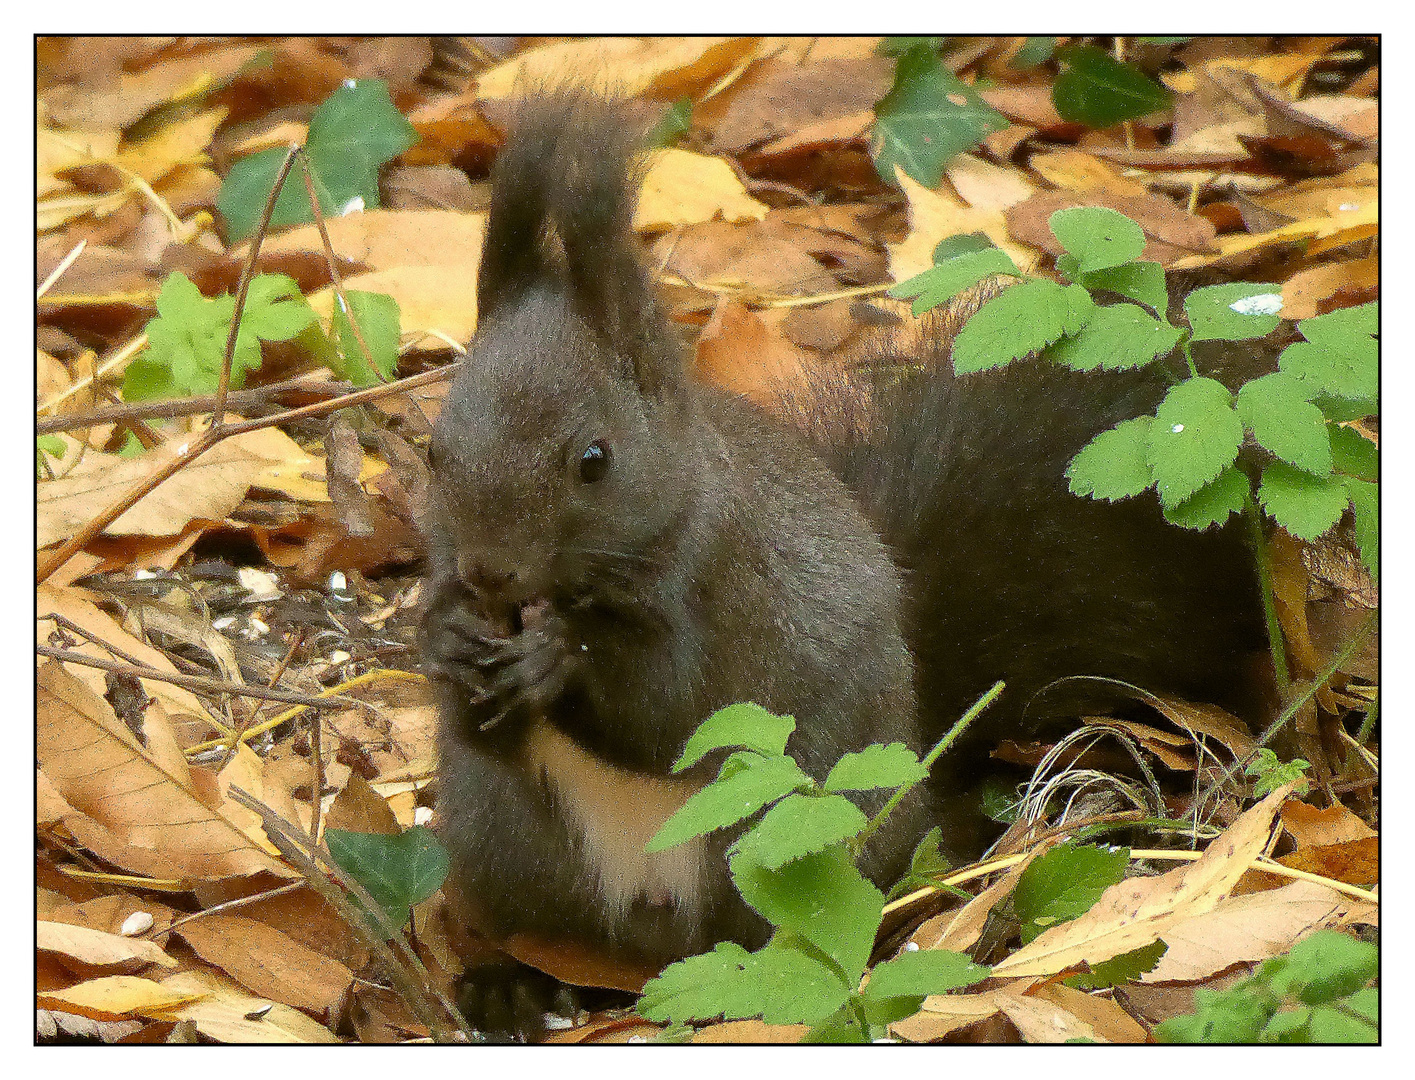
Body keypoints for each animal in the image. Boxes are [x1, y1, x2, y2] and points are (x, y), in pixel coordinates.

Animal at [424, 96, 1267, 1036]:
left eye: (593, 461)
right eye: (432, 450)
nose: (488, 572)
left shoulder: (728, 587)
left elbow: (670, 712)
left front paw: (554, 657)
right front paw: (445, 639)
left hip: (791, 841)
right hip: (504, 837)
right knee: (530, 916)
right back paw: (508, 983)